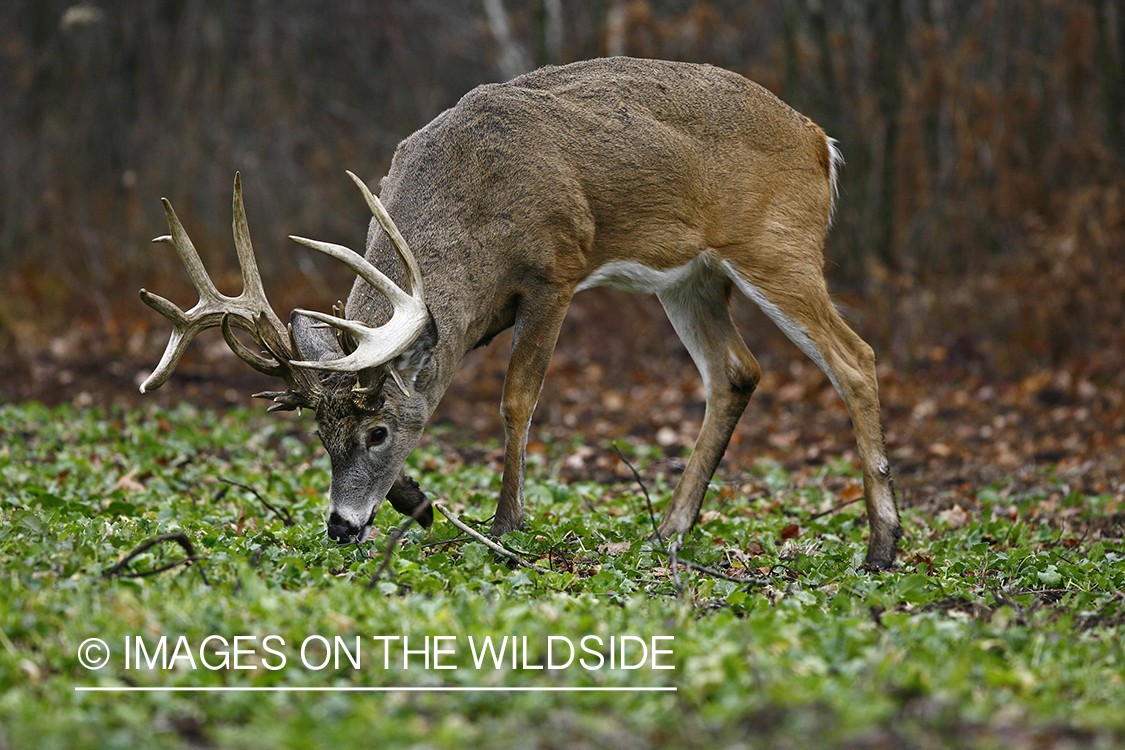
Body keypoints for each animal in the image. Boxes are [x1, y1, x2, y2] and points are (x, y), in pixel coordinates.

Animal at [138, 57, 904, 568]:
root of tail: (821, 142)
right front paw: (419, 503)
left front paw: (506, 522)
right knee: (735, 372)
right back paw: (666, 532)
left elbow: (516, 399)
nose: (341, 528)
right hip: (691, 278)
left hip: (776, 246)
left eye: (378, 433)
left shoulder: (554, 271)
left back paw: (881, 545)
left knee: (854, 357)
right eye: (321, 436)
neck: (473, 203)